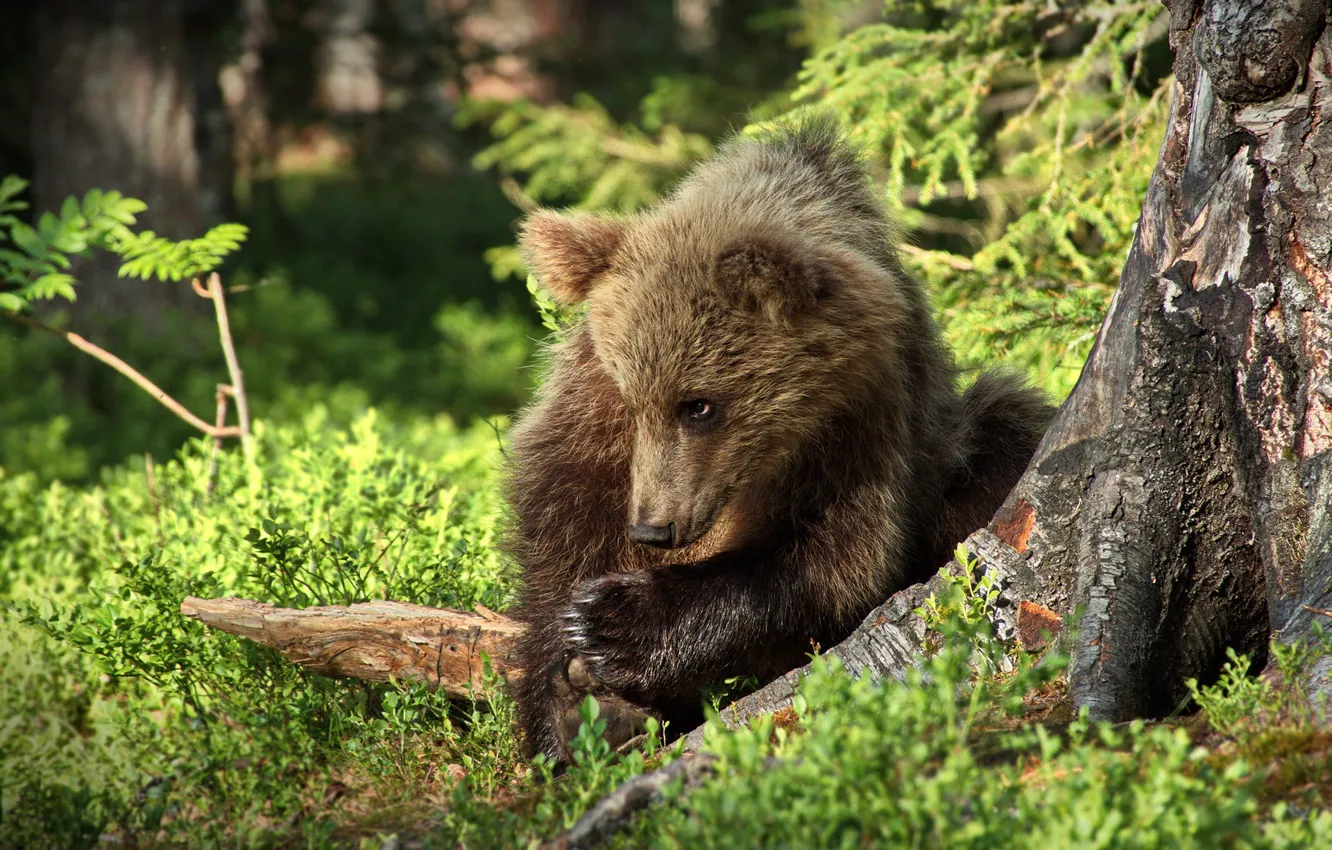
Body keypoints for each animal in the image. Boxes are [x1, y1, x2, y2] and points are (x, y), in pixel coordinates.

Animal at [501, 117, 1054, 762]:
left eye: (699, 404)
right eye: (634, 397)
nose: (654, 528)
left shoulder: (863, 427)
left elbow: (830, 562)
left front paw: (619, 623)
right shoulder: (592, 426)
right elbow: (559, 533)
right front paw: (575, 700)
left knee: (1004, 428)